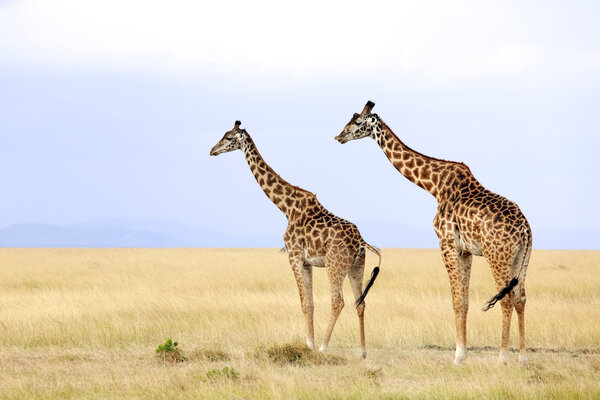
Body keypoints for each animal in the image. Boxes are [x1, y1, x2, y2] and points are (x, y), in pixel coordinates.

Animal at [210, 120, 380, 358]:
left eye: (227, 137)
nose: (212, 150)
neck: (286, 207)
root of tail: (361, 242)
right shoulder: (307, 262)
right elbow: (311, 303)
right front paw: (310, 343)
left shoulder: (294, 256)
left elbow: (304, 302)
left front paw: (310, 345)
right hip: (357, 266)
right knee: (360, 302)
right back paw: (363, 353)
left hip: (335, 265)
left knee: (338, 301)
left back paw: (324, 347)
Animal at [336, 101, 532, 364]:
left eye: (357, 122)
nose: (339, 136)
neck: (434, 187)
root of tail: (525, 230)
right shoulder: (465, 251)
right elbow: (465, 301)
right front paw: (463, 353)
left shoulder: (446, 243)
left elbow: (456, 300)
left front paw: (458, 356)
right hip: (521, 258)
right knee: (521, 298)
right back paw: (522, 358)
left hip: (497, 256)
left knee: (507, 298)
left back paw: (502, 358)